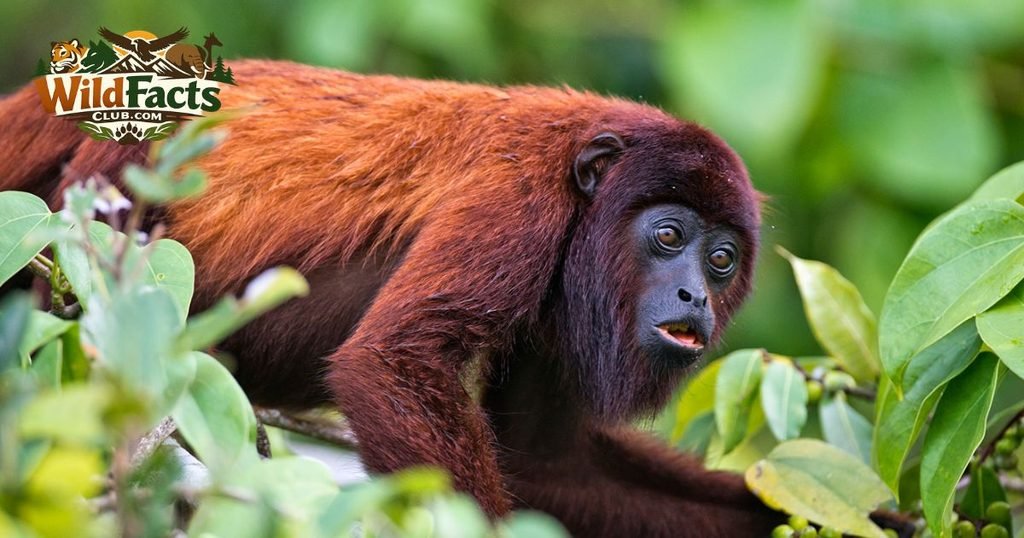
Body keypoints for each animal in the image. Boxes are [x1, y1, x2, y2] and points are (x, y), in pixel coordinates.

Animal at [0, 60, 783, 536]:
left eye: (721, 260)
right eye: (669, 235)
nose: (694, 295)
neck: (590, 177)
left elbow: (545, 463)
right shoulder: (519, 196)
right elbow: (393, 361)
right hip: (104, 191)